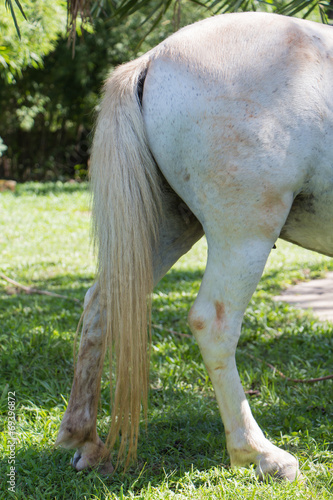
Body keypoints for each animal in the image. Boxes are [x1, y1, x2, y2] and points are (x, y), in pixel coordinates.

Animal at [55, 11, 330, 480]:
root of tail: (154, 57)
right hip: (245, 233)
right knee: (214, 324)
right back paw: (259, 453)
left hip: (167, 228)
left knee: (101, 304)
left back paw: (85, 440)